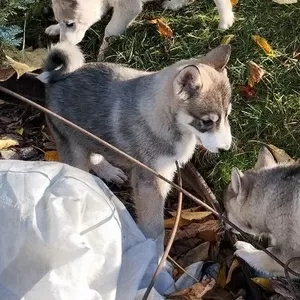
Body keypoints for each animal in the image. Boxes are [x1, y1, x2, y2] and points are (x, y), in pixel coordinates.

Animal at [37, 41, 233, 260]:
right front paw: (155, 255)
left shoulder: (165, 173)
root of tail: (57, 79)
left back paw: (109, 171)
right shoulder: (149, 182)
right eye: (207, 122)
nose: (226, 149)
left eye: (227, 114)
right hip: (73, 146)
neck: (166, 120)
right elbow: (153, 226)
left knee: (95, 154)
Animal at [45, 0, 236, 59]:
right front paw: (54, 29)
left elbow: (110, 30)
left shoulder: (129, 7)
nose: (63, 46)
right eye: (61, 22)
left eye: (70, 24)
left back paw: (225, 21)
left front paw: (103, 54)